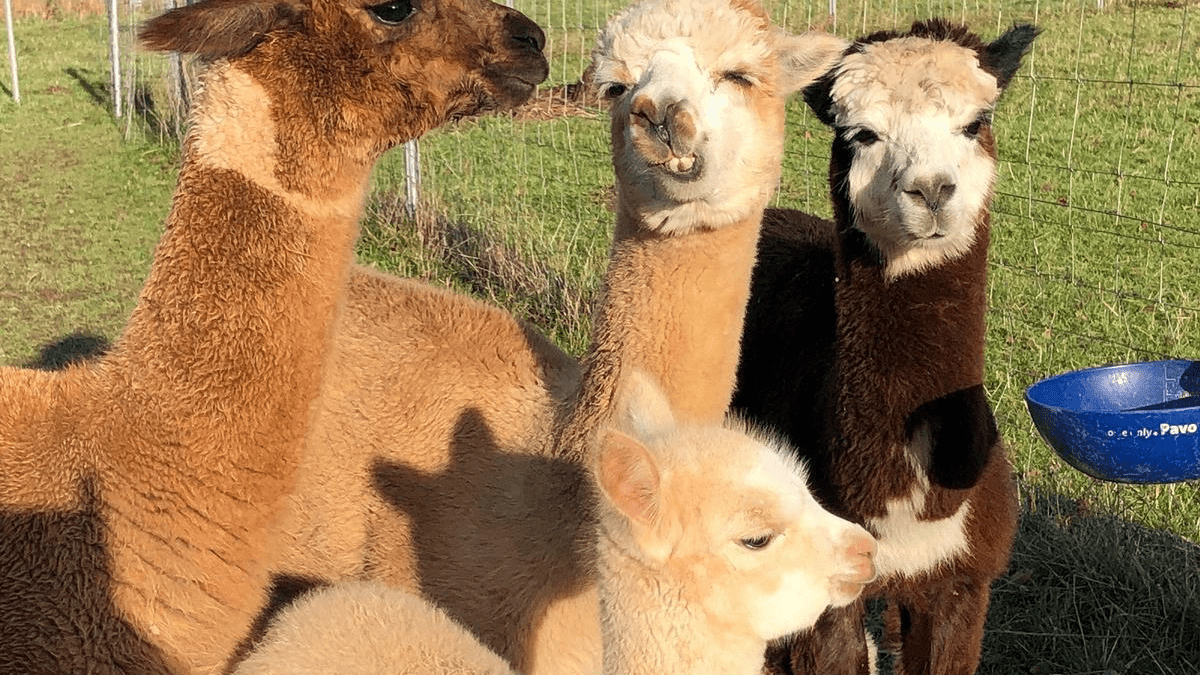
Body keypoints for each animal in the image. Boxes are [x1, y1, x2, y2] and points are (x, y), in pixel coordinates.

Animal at [731, 19, 1041, 675]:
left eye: (974, 123)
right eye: (861, 134)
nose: (931, 191)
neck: (908, 501)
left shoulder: (959, 580)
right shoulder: (823, 589)